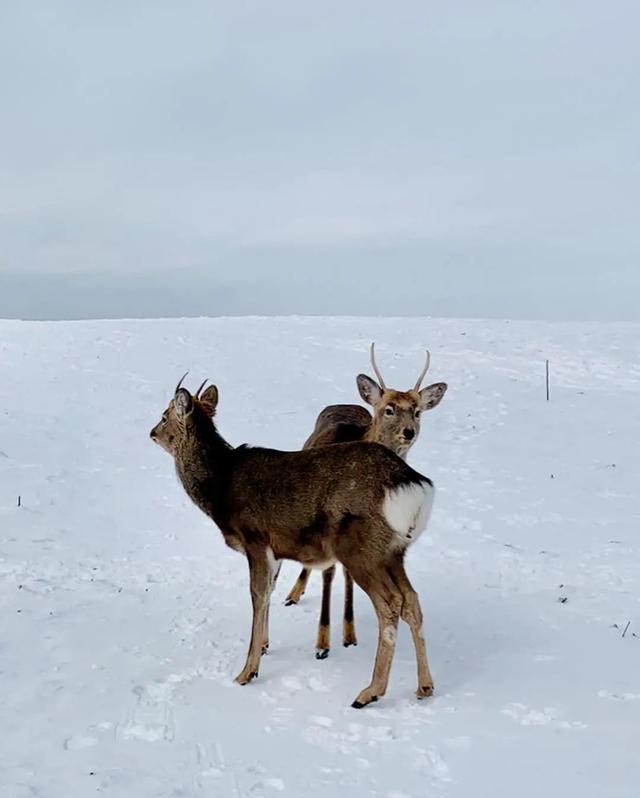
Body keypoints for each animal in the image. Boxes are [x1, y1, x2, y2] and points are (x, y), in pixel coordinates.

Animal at [150, 372, 438, 708]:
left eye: (164, 415)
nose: (152, 433)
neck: (219, 490)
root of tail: (414, 485)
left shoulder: (255, 538)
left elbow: (257, 595)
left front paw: (247, 671)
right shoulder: (275, 550)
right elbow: (269, 592)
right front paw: (264, 646)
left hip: (360, 547)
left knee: (390, 604)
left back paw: (370, 691)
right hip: (393, 551)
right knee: (412, 600)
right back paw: (424, 686)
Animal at [282, 340, 448, 660]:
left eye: (417, 411)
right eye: (389, 409)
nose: (409, 432)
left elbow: (345, 574)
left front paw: (348, 633)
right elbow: (329, 574)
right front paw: (322, 643)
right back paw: (294, 594)